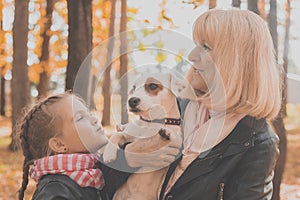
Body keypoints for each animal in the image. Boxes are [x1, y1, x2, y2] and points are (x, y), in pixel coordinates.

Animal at [102, 72, 193, 200]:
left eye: (153, 86)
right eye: (134, 87)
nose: (132, 100)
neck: (150, 122)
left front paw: (167, 132)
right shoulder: (128, 135)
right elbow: (117, 135)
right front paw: (108, 154)